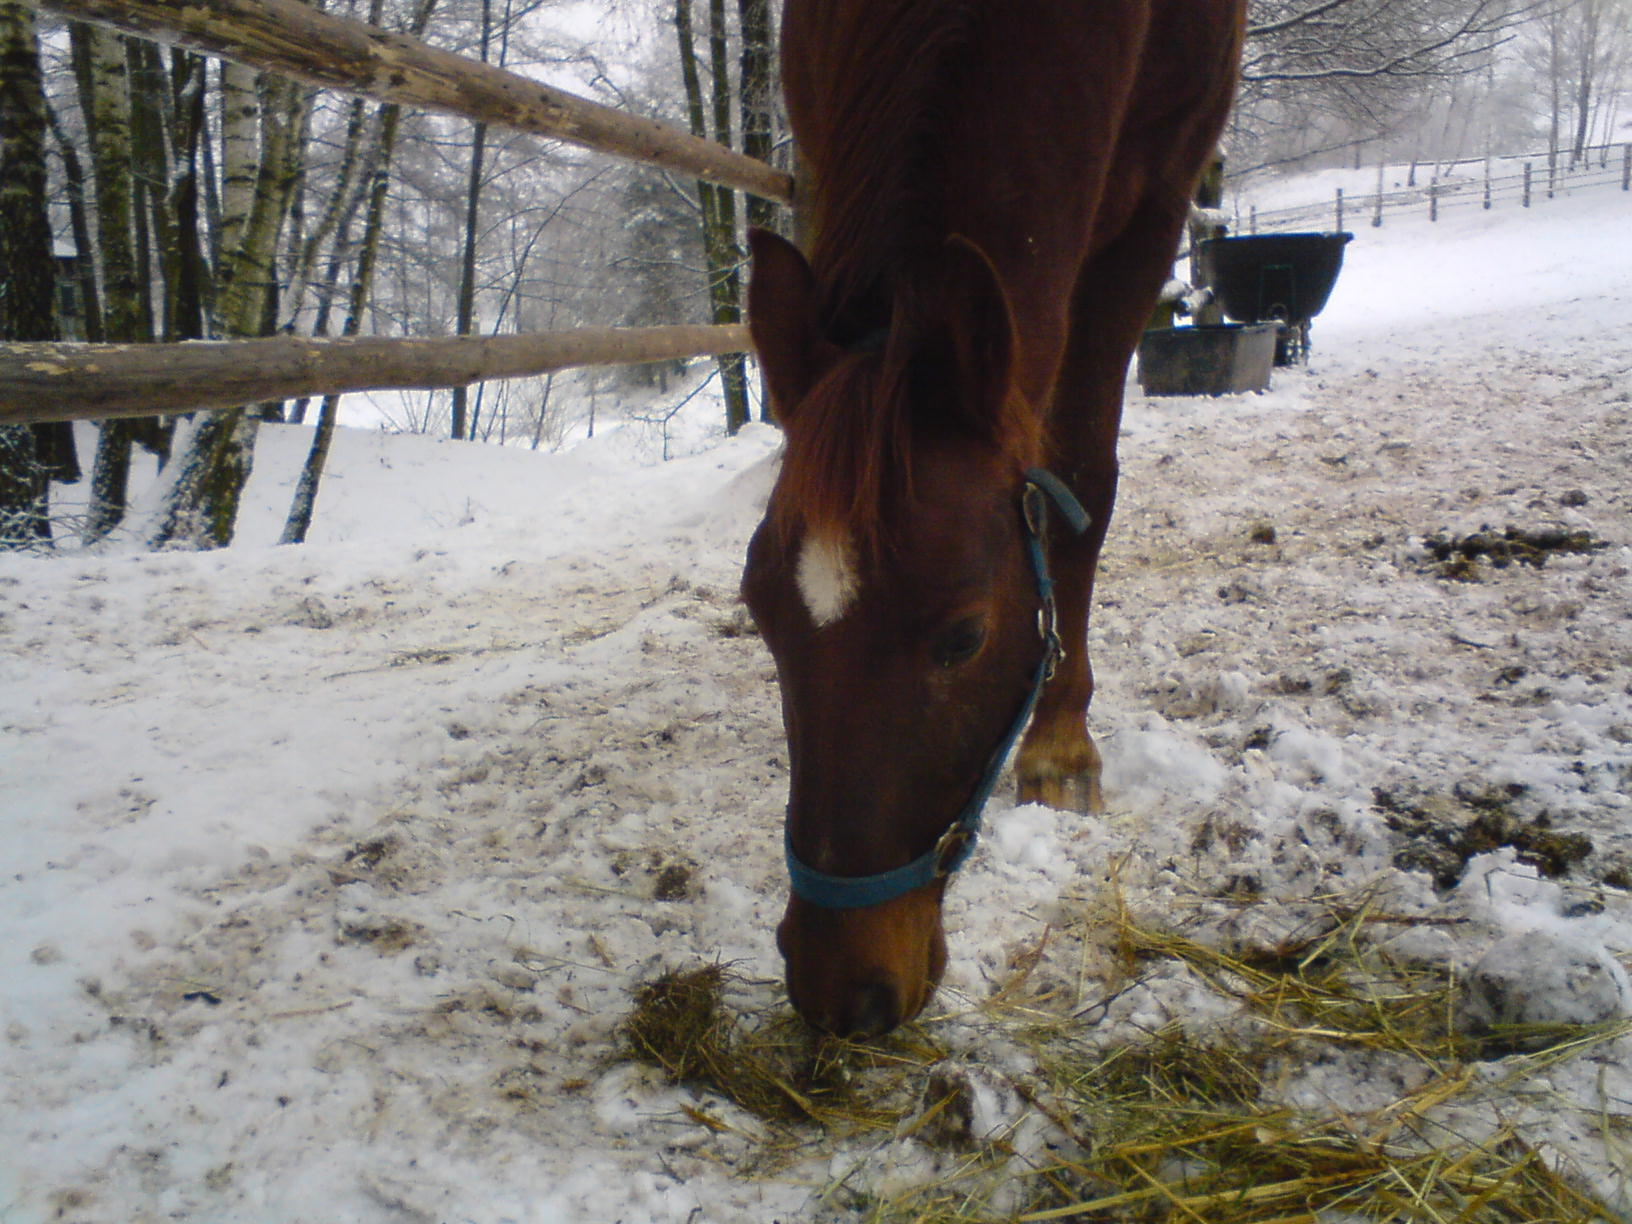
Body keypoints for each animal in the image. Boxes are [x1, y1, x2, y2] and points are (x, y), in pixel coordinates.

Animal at [747, 0, 1240, 1037]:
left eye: (964, 638)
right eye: (758, 614)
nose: (838, 991)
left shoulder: (1149, 211)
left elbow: (1082, 479)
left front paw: (1060, 750)